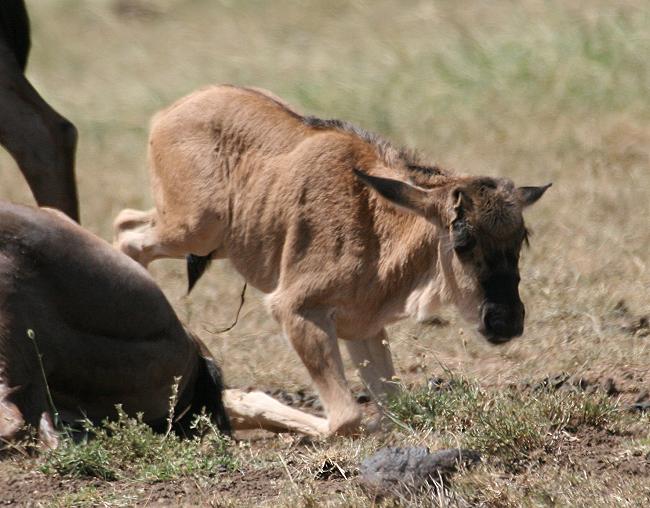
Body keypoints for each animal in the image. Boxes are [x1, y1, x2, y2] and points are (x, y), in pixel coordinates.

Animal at [114, 85, 548, 434]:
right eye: (462, 240)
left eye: (520, 238)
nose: (506, 322)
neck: (378, 223)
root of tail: (167, 114)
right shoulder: (296, 310)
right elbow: (345, 420)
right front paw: (238, 400)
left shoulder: (362, 327)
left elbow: (393, 409)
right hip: (195, 228)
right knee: (129, 237)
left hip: (206, 239)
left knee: (127, 223)